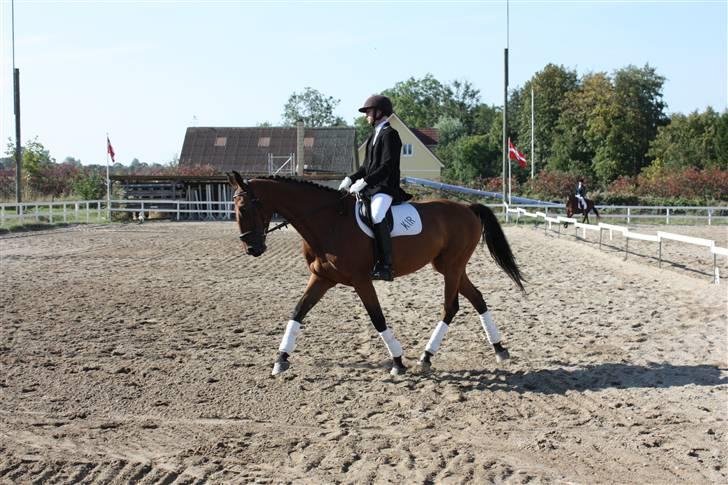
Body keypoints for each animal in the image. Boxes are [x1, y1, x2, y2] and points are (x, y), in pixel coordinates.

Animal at [228, 172, 524, 376]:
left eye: (244, 207)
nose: (252, 248)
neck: (328, 222)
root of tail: (468, 208)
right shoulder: (322, 278)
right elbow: (298, 311)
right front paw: (281, 359)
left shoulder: (361, 280)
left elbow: (377, 317)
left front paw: (397, 361)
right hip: (450, 267)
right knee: (477, 299)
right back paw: (499, 349)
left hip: (451, 267)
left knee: (450, 307)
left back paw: (426, 357)